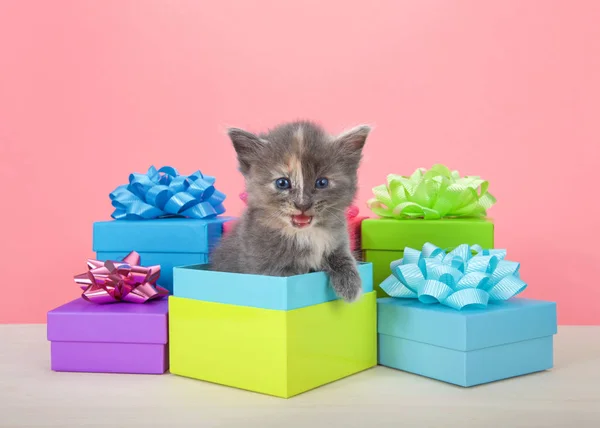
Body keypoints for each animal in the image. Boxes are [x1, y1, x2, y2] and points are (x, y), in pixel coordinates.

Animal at [211, 119, 370, 300]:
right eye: (282, 183)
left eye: (322, 182)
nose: (302, 204)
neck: (304, 234)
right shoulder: (264, 266)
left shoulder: (339, 239)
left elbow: (343, 256)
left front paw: (351, 285)